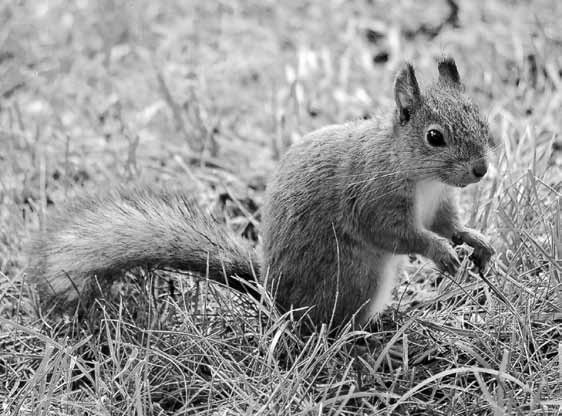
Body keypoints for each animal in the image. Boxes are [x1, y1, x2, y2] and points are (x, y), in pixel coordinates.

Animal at [26, 56, 492, 328]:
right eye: (434, 137)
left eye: (481, 119)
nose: (481, 168)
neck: (419, 175)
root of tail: (272, 294)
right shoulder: (372, 196)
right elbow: (395, 233)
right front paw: (440, 253)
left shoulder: (438, 202)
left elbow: (447, 223)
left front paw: (474, 241)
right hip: (355, 279)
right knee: (327, 328)